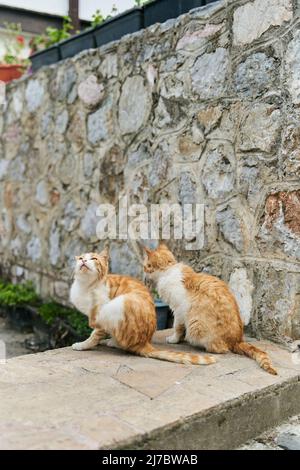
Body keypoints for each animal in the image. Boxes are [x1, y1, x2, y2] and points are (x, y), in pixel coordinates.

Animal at [70, 248, 216, 366]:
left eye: (94, 259)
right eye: (81, 258)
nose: (83, 261)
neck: (86, 285)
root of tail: (145, 342)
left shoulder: (100, 312)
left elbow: (94, 334)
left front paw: (83, 345)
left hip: (120, 302)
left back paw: (112, 342)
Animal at [144, 242, 278, 374]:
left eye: (146, 266)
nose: (144, 272)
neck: (168, 270)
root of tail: (238, 340)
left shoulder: (179, 310)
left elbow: (177, 327)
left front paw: (174, 339)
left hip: (196, 324)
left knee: (221, 349)